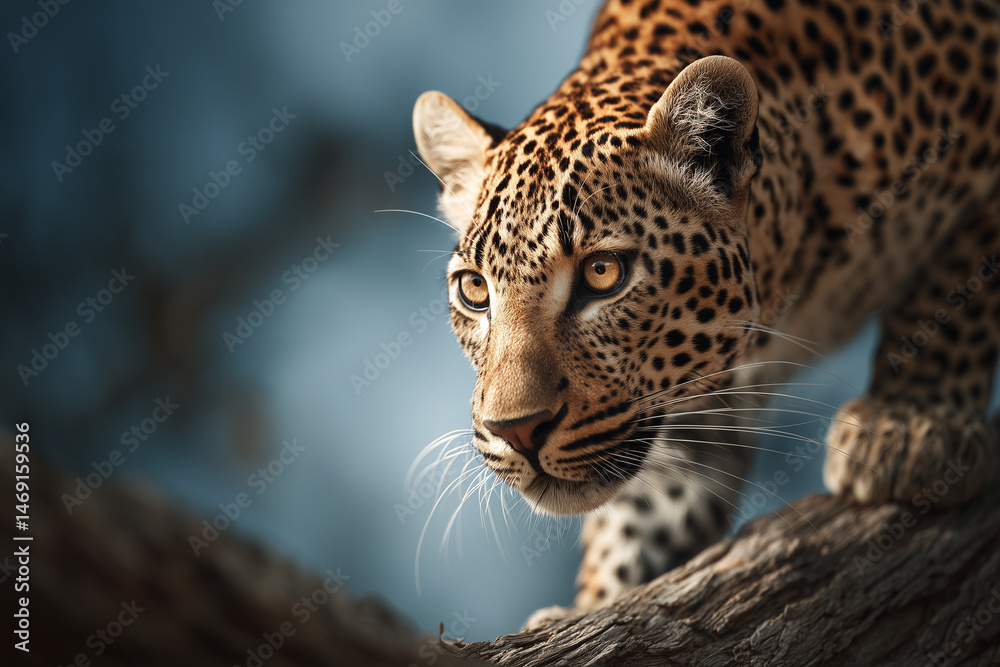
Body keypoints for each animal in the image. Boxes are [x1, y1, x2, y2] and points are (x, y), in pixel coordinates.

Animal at [412, 0, 1000, 628]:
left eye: (603, 272)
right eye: (475, 289)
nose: (516, 430)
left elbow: (955, 290)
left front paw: (912, 425)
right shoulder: (692, 406)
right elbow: (649, 510)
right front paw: (590, 606)